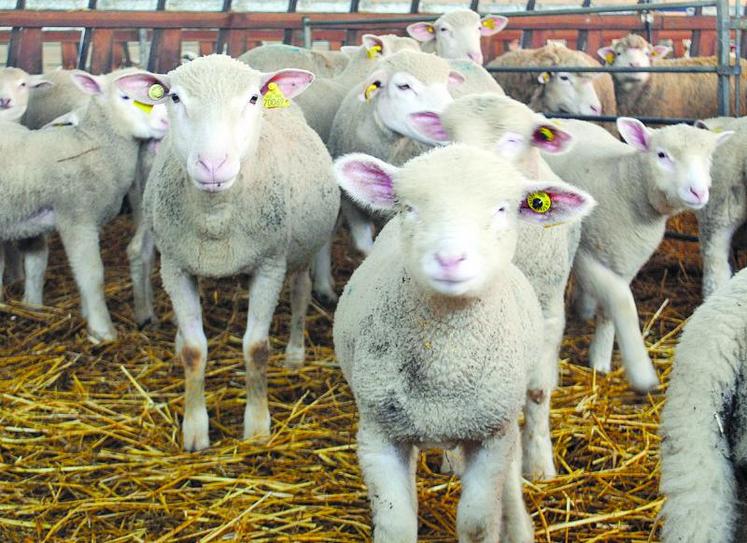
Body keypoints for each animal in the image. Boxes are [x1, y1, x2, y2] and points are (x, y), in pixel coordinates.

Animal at [0, 69, 166, 340]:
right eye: (125, 96)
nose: (165, 121)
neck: (93, 145)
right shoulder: (77, 218)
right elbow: (92, 274)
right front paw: (103, 331)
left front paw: (87, 316)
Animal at [116, 54, 340, 451]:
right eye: (174, 97)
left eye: (252, 98)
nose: (212, 165)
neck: (216, 217)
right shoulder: (175, 266)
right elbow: (194, 350)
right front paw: (194, 431)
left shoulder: (269, 265)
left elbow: (256, 348)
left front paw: (257, 428)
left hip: (300, 250)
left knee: (300, 293)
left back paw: (295, 354)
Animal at [332, 144, 593, 542]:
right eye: (409, 207)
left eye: (502, 209)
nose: (450, 258)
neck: (445, 362)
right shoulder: (379, 434)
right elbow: (396, 524)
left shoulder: (491, 436)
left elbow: (477, 523)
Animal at [406, 93, 594, 480]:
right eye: (448, 137)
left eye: (512, 140)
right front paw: (453, 462)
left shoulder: (549, 313)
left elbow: (537, 392)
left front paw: (539, 465)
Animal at [543, 117, 732, 392]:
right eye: (662, 155)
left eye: (708, 158)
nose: (699, 192)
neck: (625, 185)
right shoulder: (586, 254)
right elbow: (621, 301)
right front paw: (640, 371)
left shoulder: (627, 260)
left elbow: (609, 312)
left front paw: (600, 359)